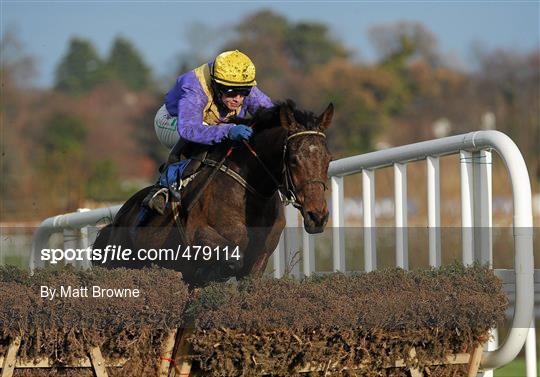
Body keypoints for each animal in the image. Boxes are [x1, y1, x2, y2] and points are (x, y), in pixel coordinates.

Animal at [94, 100, 334, 284]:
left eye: (328, 159)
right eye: (293, 159)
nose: (317, 216)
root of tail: (116, 221)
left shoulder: (258, 261)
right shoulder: (200, 235)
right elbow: (231, 258)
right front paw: (210, 271)